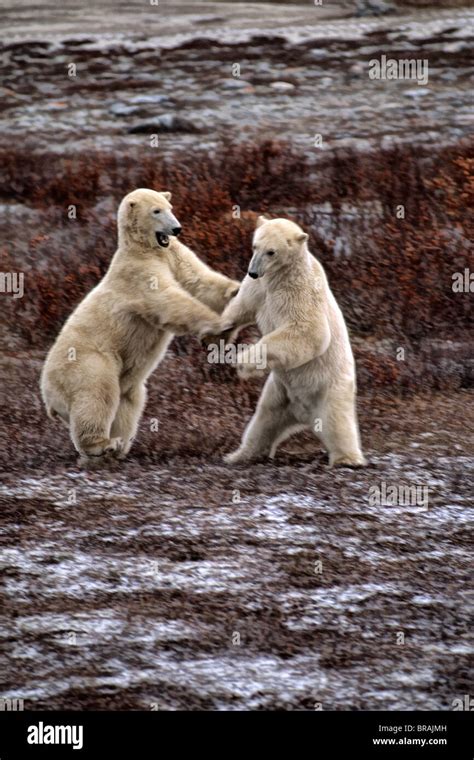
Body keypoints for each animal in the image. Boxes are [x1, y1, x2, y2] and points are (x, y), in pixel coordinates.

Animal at [40, 189, 239, 464]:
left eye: (170, 206)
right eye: (156, 211)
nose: (177, 228)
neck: (143, 249)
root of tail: (48, 396)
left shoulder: (171, 254)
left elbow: (199, 280)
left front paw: (236, 290)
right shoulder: (138, 273)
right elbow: (167, 299)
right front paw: (219, 327)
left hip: (120, 378)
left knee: (129, 400)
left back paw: (118, 446)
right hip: (87, 361)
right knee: (97, 393)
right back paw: (103, 445)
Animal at [216, 214, 366, 466]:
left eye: (271, 252)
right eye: (254, 246)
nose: (253, 271)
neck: (279, 276)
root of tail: (305, 414)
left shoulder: (299, 290)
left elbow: (309, 331)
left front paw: (244, 361)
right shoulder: (259, 288)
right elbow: (242, 307)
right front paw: (220, 331)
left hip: (330, 387)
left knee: (338, 422)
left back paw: (347, 459)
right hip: (281, 393)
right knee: (264, 420)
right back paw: (239, 455)